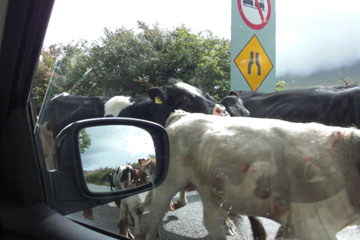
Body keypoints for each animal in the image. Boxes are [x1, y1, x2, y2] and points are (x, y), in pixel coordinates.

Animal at [145, 110, 360, 240]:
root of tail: (183, 115)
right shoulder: (314, 224)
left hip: (212, 192)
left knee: (212, 221)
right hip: (170, 180)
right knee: (156, 211)